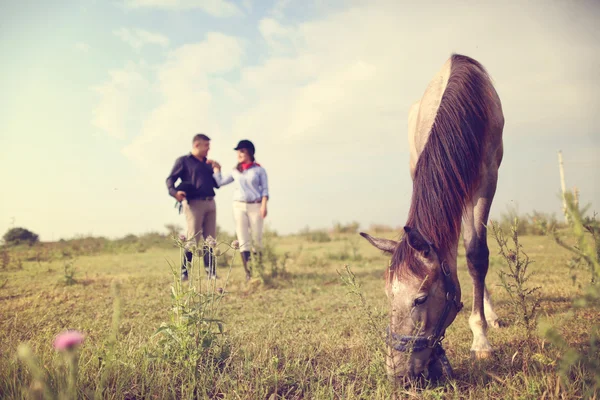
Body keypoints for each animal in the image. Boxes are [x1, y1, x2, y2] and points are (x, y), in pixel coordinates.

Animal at [358, 54, 504, 382]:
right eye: (388, 296)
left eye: (421, 299)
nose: (396, 373)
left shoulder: (487, 178)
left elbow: (477, 254)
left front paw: (481, 340)